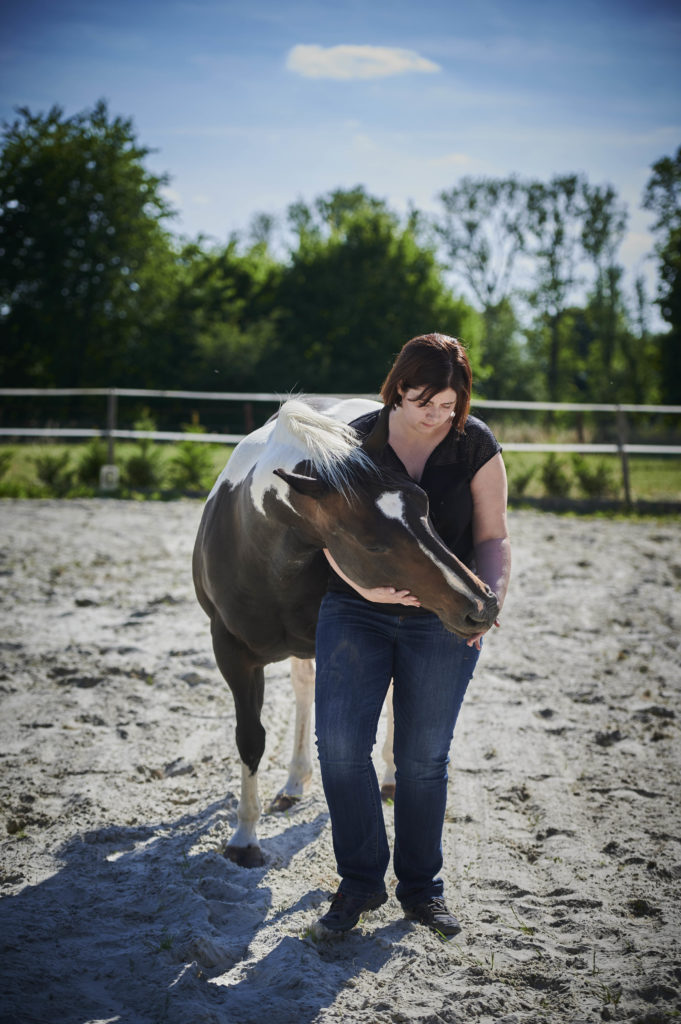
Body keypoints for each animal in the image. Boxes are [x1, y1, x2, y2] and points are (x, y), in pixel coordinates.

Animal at [192, 395, 499, 868]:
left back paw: (388, 779)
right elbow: (251, 739)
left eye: (424, 504)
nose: (481, 605)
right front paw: (244, 837)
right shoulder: (231, 652)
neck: (257, 550)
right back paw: (294, 783)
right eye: (373, 544)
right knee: (304, 691)